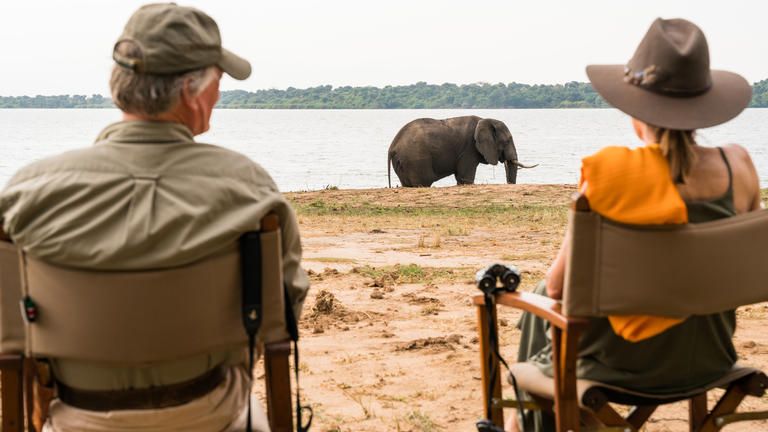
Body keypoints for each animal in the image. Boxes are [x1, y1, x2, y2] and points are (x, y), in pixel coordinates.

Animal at [387, 116, 537, 187]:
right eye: (507, 141)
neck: (484, 120)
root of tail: (392, 147)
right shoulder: (469, 149)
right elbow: (466, 177)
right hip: (416, 160)